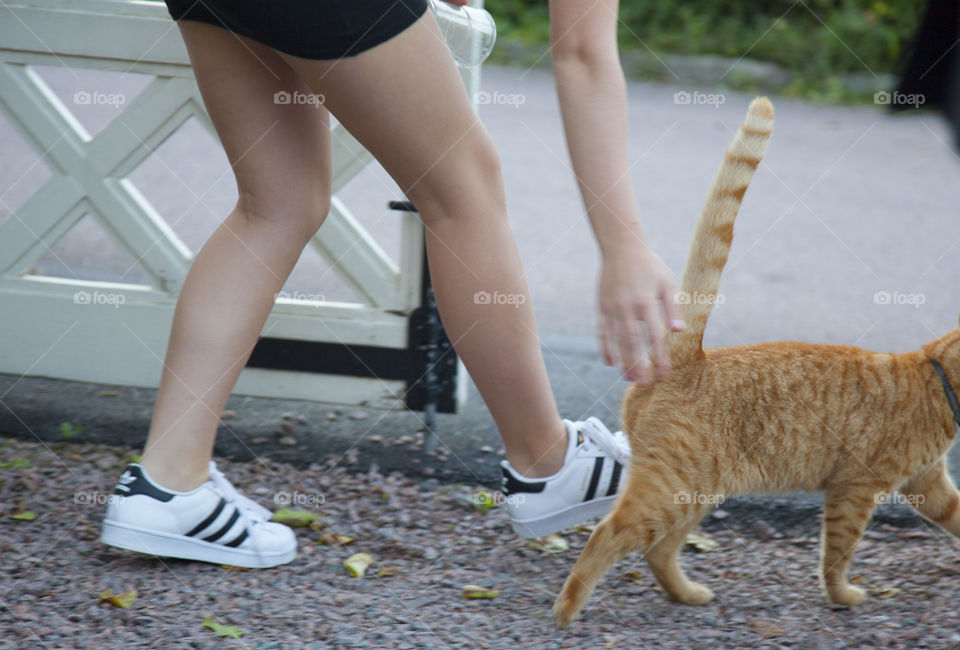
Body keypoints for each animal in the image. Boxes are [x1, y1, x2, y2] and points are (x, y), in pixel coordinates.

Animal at [552, 93, 960, 624]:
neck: (936, 378)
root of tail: (691, 358)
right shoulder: (855, 489)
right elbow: (838, 553)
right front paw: (841, 596)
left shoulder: (929, 483)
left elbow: (958, 515)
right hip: (671, 490)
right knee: (609, 533)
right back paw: (567, 609)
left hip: (693, 492)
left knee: (658, 550)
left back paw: (685, 594)